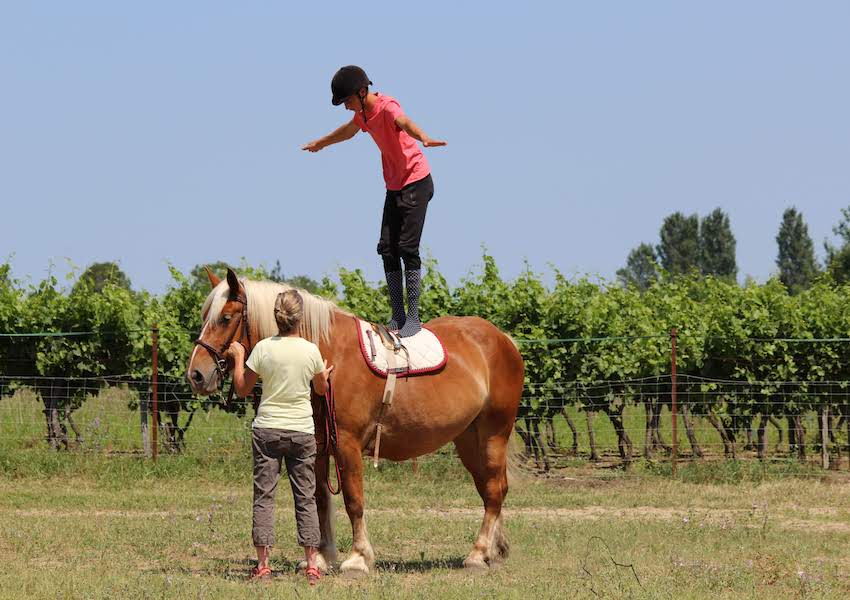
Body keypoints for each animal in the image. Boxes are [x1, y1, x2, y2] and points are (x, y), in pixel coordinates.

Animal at [186, 270, 524, 576]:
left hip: (494, 433)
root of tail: (503, 339)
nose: (196, 375)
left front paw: (358, 559)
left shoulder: (347, 445)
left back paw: (478, 555)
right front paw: (321, 557)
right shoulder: (319, 446)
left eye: (226, 318)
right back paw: (495, 551)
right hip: (468, 438)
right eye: (204, 316)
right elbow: (320, 499)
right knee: (491, 488)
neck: (327, 355)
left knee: (494, 491)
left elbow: (353, 500)